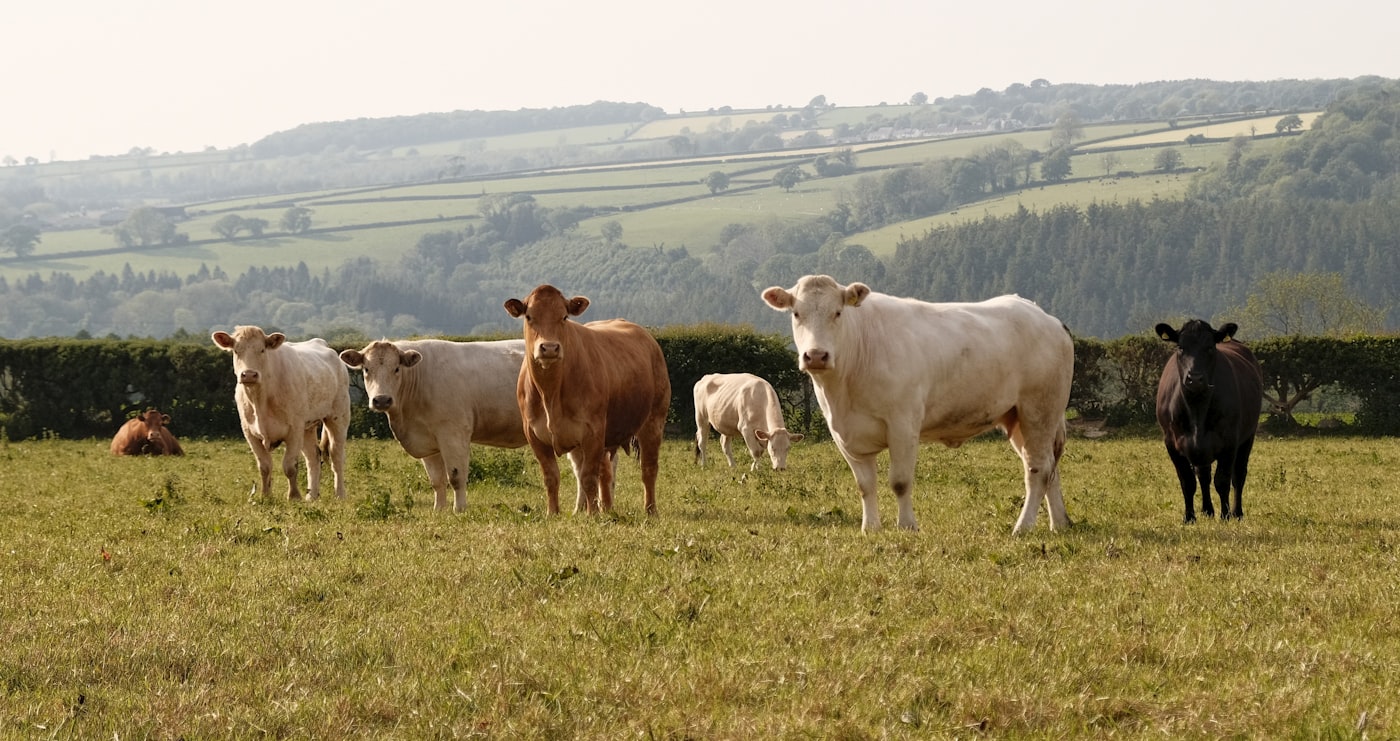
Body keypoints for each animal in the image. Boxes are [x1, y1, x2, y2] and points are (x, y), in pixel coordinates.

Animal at [211, 326, 350, 501]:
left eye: (262, 350)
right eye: (236, 351)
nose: (249, 374)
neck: (260, 399)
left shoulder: (294, 429)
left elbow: (290, 466)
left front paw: (294, 496)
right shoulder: (249, 432)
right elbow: (264, 466)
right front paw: (265, 495)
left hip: (338, 417)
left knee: (336, 456)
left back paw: (340, 494)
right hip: (307, 427)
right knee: (313, 457)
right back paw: (311, 496)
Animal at [339, 339, 529, 513]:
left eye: (397, 368)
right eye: (366, 369)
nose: (382, 399)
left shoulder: (453, 434)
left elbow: (456, 477)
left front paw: (459, 510)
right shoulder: (428, 441)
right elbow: (437, 481)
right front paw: (438, 510)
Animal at [503, 285, 670, 517]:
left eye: (564, 317)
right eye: (529, 317)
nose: (549, 347)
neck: (550, 393)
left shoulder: (593, 432)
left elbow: (588, 477)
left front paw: (592, 515)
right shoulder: (534, 435)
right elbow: (552, 477)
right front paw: (553, 513)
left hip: (653, 420)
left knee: (648, 468)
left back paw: (650, 510)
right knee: (605, 472)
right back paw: (603, 508)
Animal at [762, 275, 1074, 534]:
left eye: (837, 313)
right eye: (797, 314)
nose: (816, 355)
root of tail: (1047, 318)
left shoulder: (903, 424)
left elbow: (900, 482)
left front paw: (907, 526)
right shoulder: (845, 435)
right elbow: (865, 485)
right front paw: (870, 528)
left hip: (1039, 410)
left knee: (1038, 470)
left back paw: (1023, 527)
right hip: (1018, 418)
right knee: (1049, 468)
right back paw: (1059, 524)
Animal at [1154, 320, 1263, 523]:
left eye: (1210, 347)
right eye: (1181, 347)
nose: (1195, 379)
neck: (1197, 408)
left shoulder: (1229, 441)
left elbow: (1222, 480)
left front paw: (1225, 515)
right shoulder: (1171, 442)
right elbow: (1187, 481)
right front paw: (1189, 517)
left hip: (1248, 436)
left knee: (1238, 474)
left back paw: (1237, 512)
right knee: (1203, 475)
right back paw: (1207, 510)